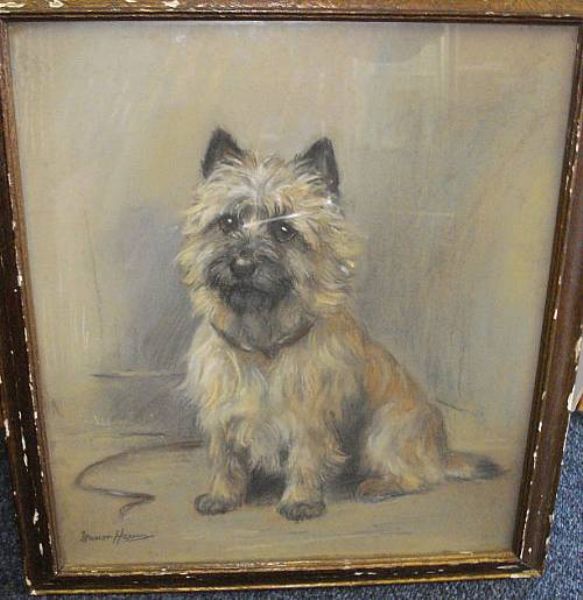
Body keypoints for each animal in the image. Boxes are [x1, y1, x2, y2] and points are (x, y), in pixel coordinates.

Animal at [178, 129, 499, 521]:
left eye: (284, 229)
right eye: (227, 222)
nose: (242, 265)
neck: (263, 341)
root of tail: (440, 451)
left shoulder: (309, 416)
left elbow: (304, 458)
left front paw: (300, 500)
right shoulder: (222, 413)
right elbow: (226, 460)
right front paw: (222, 496)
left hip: (384, 428)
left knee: (418, 476)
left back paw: (378, 485)